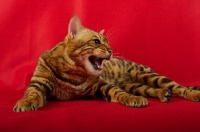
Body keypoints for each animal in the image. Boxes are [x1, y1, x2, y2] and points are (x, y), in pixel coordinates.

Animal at [13, 14, 200, 112]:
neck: (73, 74)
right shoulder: (39, 82)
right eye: (96, 42)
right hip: (136, 85)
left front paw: (132, 99)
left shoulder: (101, 85)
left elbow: (119, 92)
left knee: (178, 87)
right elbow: (32, 94)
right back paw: (163, 94)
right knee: (152, 89)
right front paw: (25, 103)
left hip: (148, 75)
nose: (110, 50)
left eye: (108, 42)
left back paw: (193, 94)